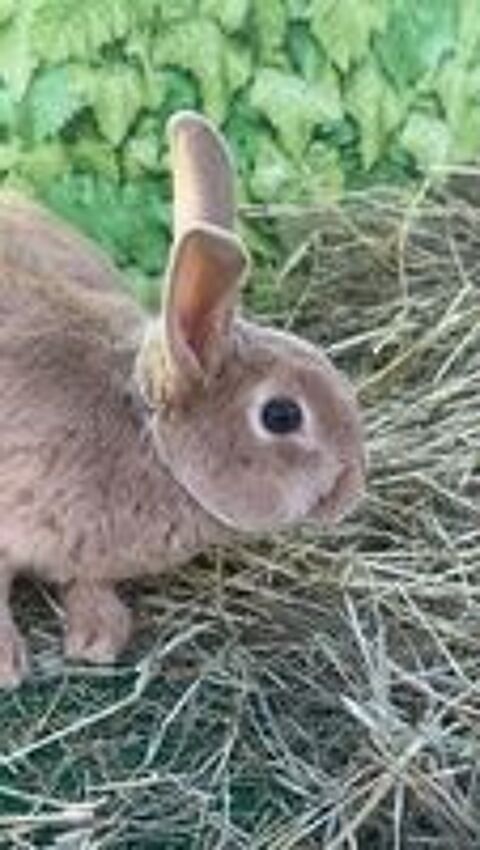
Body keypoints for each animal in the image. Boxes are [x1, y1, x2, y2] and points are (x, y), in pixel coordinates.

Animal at [0, 112, 365, 687]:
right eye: (281, 414)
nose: (353, 489)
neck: (146, 436)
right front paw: (7, 665)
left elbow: (87, 580)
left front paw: (99, 639)